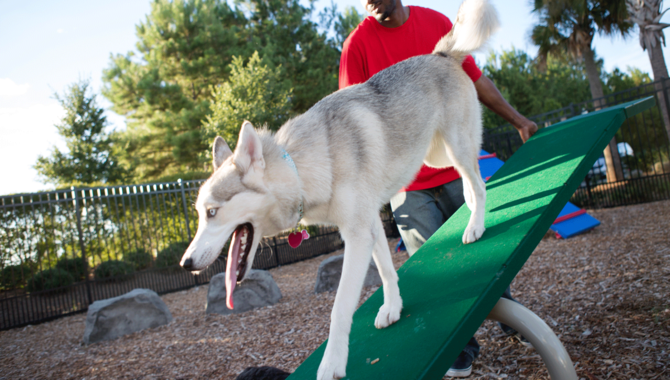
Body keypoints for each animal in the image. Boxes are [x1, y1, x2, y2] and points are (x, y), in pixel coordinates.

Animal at [181, 1, 502, 378]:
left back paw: (475, 225)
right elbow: (388, 273)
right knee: (470, 181)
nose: (186, 263)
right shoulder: (371, 225)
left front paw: (332, 363)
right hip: (437, 156)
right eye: (200, 214)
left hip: (456, 148)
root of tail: (440, 54)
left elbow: (338, 310)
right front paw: (393, 308)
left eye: (212, 212)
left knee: (478, 183)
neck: (304, 168)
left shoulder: (357, 236)